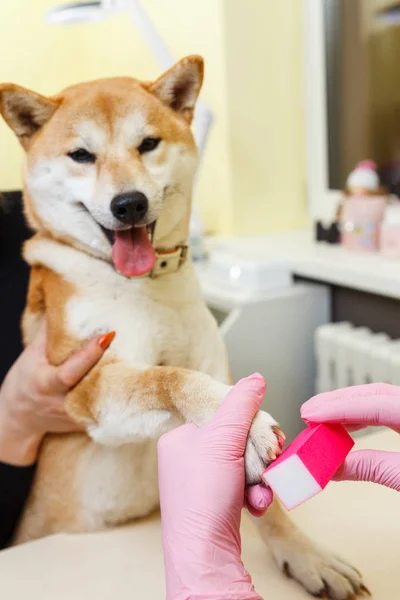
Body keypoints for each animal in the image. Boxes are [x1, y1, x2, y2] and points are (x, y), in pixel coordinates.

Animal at [0, 55, 368, 596]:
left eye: (148, 144)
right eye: (81, 155)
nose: (128, 203)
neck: (142, 287)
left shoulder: (211, 363)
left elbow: (271, 507)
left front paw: (305, 554)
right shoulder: (87, 384)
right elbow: (168, 378)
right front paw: (240, 424)